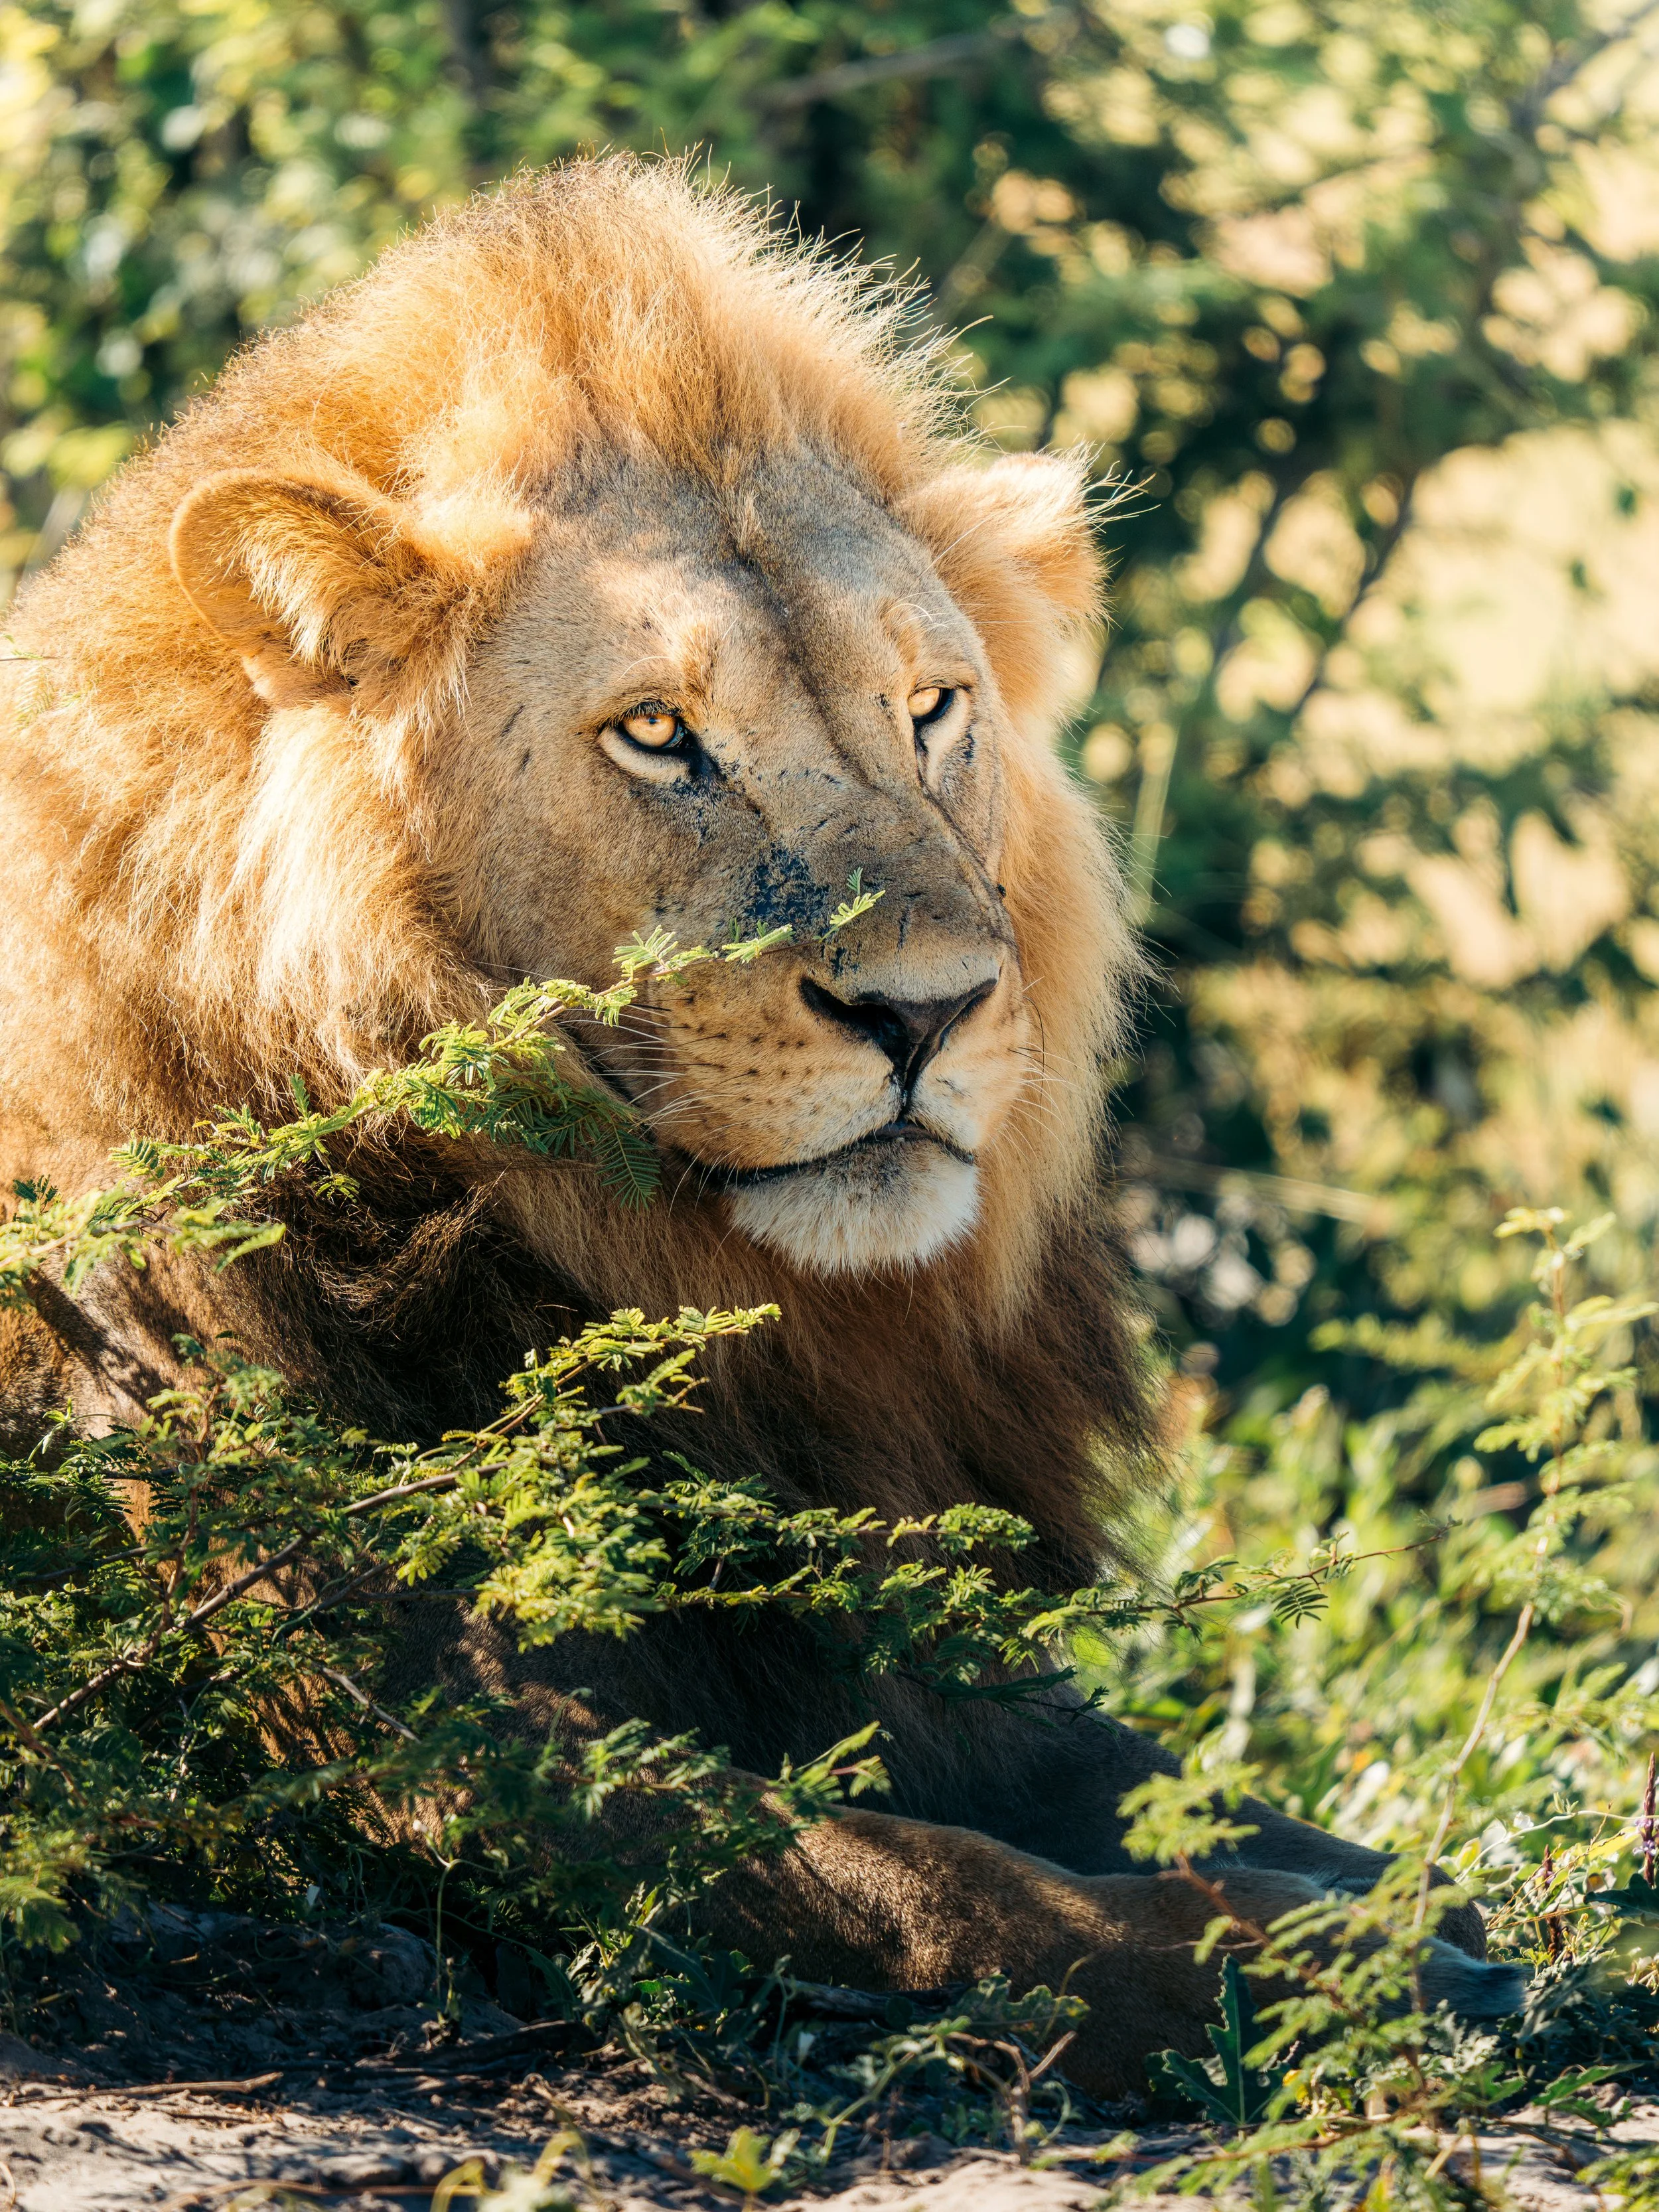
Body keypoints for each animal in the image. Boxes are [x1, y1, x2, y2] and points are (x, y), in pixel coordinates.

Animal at [0, 157, 1519, 2096]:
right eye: (659, 735)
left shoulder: (883, 1643)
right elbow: (905, 1877)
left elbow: (1154, 1778)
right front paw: (1299, 1969)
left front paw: (1445, 1911)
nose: (927, 1011)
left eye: (932, 709)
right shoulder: (382, 1713)